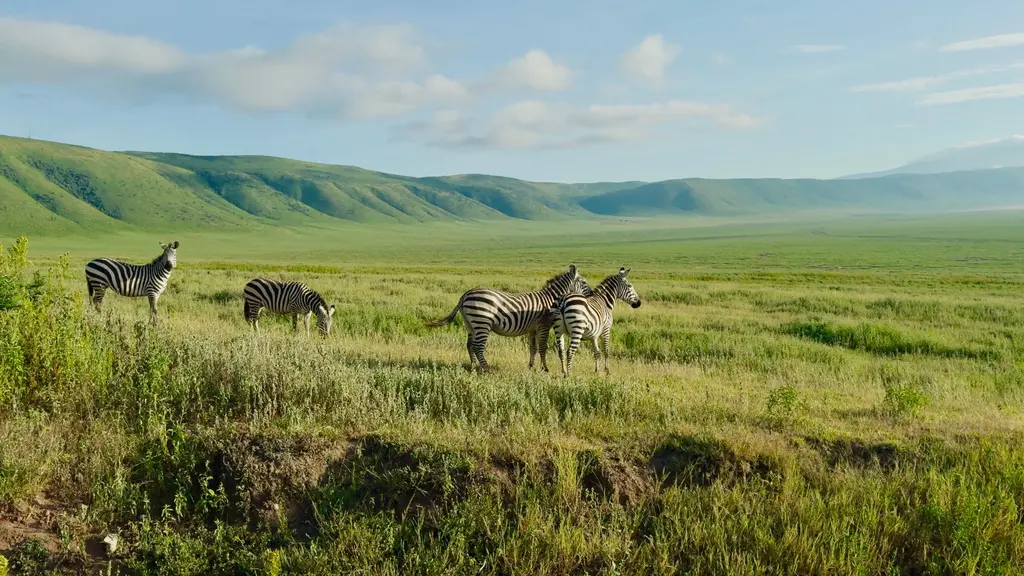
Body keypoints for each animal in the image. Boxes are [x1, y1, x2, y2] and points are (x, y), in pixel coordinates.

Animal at [425, 265, 592, 372]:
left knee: (470, 345)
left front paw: (531, 367)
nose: (591, 295)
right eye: (584, 282)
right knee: (478, 347)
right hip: (482, 322)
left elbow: (533, 348)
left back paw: (473, 367)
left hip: (470, 324)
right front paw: (545, 368)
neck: (550, 300)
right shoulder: (543, 326)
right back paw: (487, 369)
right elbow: (543, 348)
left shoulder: (533, 329)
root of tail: (466, 293)